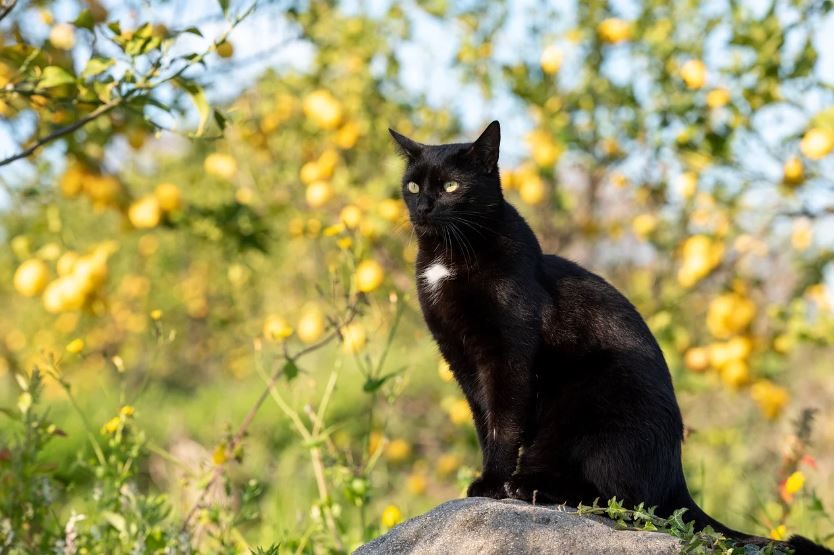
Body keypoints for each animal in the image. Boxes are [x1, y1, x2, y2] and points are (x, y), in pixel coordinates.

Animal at [390, 121, 832, 555]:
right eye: (412, 186)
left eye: (451, 187)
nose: (423, 206)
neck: (447, 258)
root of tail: (678, 479)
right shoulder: (462, 360)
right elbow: (485, 423)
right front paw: (488, 481)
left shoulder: (508, 357)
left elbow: (504, 423)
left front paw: (492, 485)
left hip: (600, 399)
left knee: (624, 500)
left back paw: (529, 486)